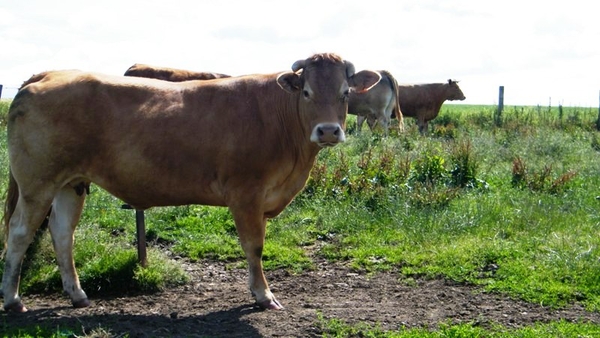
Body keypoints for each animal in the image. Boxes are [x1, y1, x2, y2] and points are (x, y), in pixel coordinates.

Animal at [1, 53, 380, 314]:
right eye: (306, 92)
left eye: (345, 93)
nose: (328, 131)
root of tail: (50, 73)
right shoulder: (246, 194)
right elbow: (254, 246)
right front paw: (263, 295)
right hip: (37, 182)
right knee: (20, 233)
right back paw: (13, 299)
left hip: (71, 182)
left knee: (62, 232)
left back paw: (77, 295)